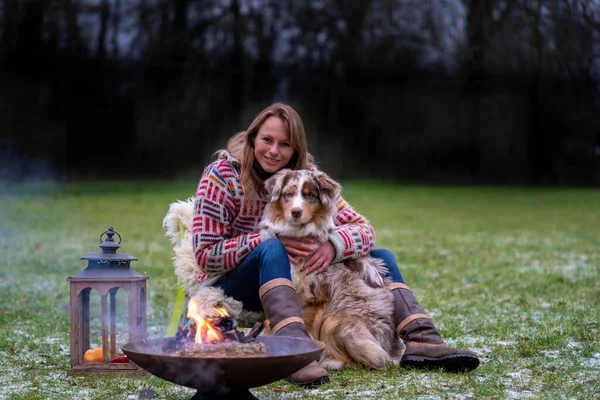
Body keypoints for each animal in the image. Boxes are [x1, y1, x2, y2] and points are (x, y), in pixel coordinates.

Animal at [258, 168, 404, 368]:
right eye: (288, 194)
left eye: (309, 196)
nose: (296, 212)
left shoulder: (313, 298)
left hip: (340, 323)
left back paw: (330, 361)